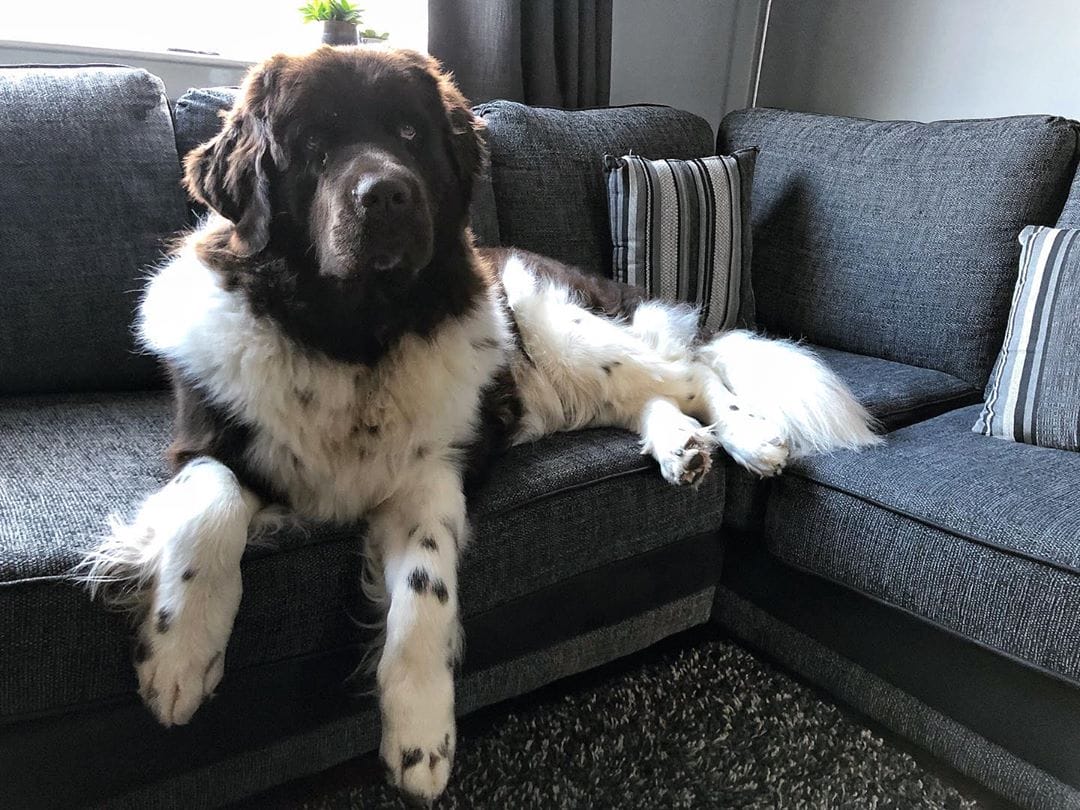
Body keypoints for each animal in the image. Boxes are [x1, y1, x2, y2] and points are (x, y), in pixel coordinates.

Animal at [76, 46, 879, 802]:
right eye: (312, 143)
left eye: (409, 132)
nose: (387, 194)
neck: (356, 337)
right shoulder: (204, 437)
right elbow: (209, 502)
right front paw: (180, 654)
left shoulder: (434, 469)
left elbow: (426, 590)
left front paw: (421, 734)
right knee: (651, 397)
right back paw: (683, 448)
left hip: (569, 334)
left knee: (696, 372)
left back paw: (751, 437)